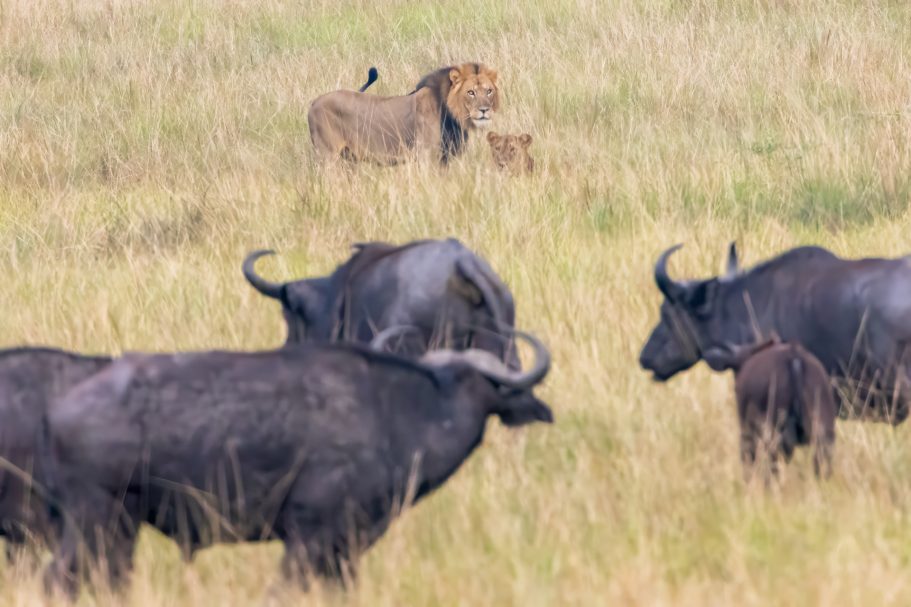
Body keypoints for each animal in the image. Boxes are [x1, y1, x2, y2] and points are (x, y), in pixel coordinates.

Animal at [308, 62, 500, 165]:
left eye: (489, 91)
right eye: (471, 92)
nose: (484, 109)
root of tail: (313, 103)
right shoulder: (425, 156)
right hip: (328, 156)